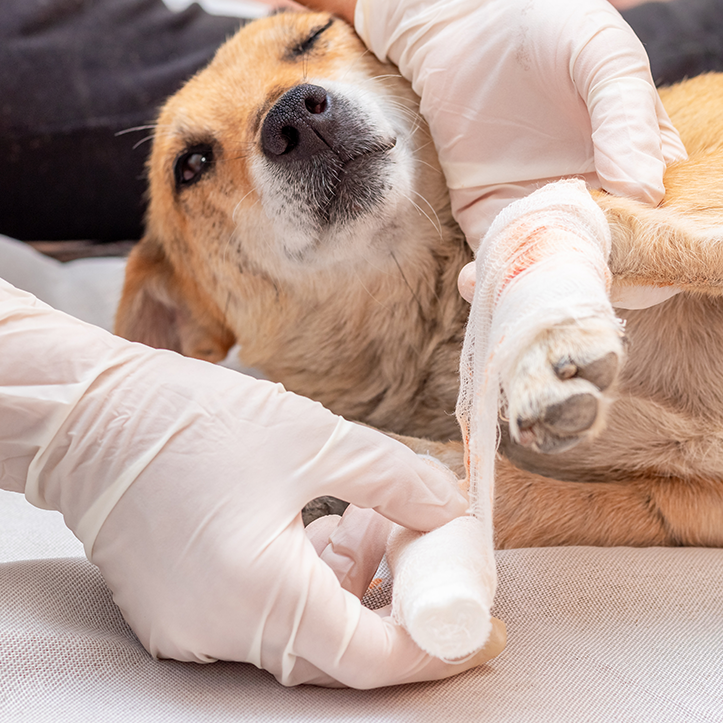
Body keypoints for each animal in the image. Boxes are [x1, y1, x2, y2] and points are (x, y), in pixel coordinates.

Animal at [116, 11, 723, 549]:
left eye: (312, 36)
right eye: (191, 166)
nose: (296, 117)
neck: (435, 318)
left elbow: (599, 212)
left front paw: (544, 334)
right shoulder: (685, 505)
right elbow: (501, 495)